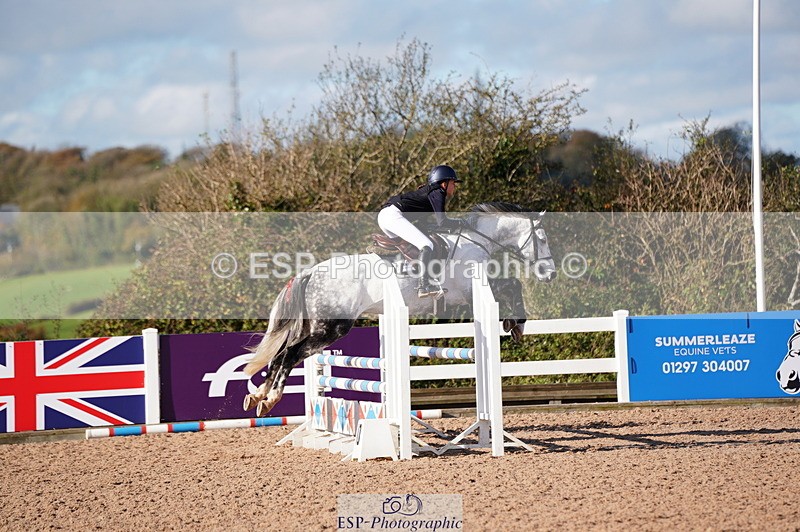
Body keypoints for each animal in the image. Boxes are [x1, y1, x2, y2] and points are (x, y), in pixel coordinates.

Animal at [242, 202, 557, 417]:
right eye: (542, 239)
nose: (550, 274)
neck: (476, 240)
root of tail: (309, 273)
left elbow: (511, 285)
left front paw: (512, 324)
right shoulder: (471, 289)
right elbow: (512, 284)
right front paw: (517, 325)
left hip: (315, 325)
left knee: (282, 353)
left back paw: (257, 397)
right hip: (332, 327)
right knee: (291, 353)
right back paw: (270, 399)